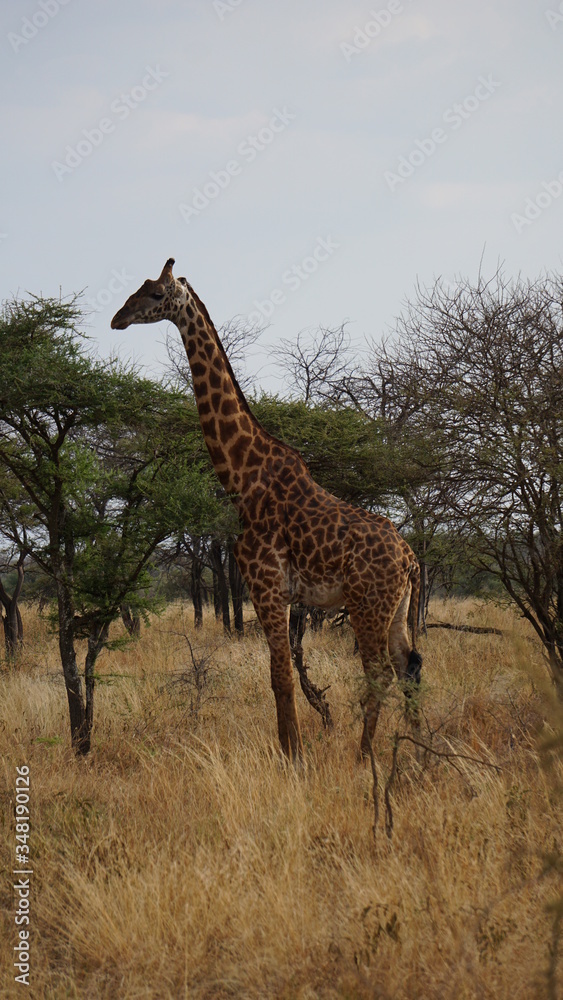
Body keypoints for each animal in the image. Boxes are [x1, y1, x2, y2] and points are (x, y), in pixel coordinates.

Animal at [111, 259, 422, 763]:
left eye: (156, 293)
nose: (118, 318)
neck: (242, 480)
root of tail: (410, 558)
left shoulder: (267, 586)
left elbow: (280, 677)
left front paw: (292, 757)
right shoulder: (273, 593)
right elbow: (281, 676)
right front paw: (292, 751)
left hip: (366, 604)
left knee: (382, 673)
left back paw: (365, 758)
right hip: (396, 607)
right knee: (409, 665)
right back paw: (418, 750)